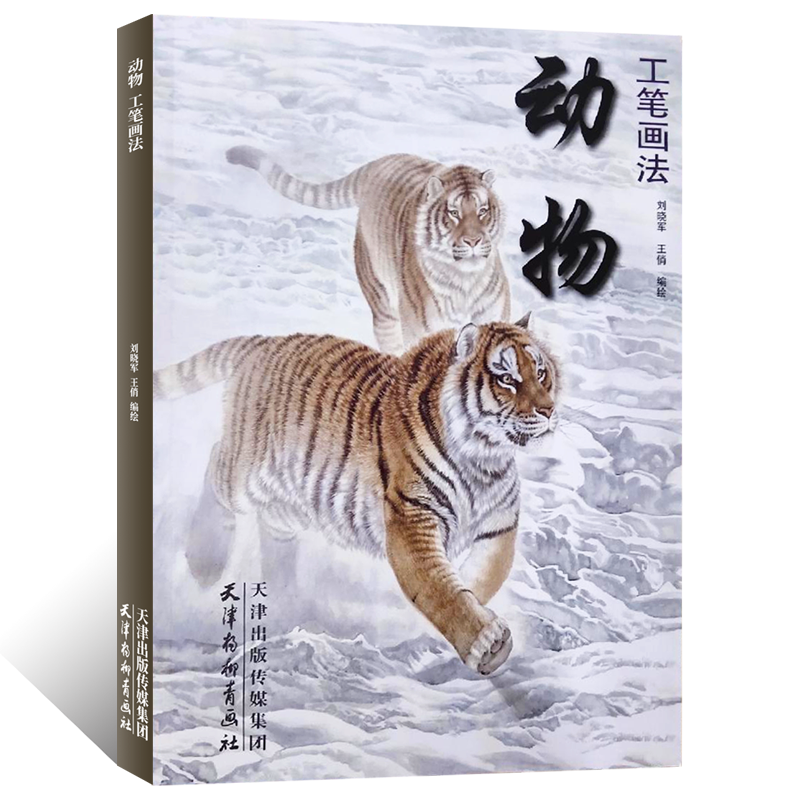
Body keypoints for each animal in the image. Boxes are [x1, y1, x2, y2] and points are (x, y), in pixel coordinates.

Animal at [153, 314, 559, 675]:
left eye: (540, 373)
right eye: (506, 379)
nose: (548, 410)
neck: (484, 459)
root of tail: (264, 342)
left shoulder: (500, 525)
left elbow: (481, 578)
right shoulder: (411, 517)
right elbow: (440, 588)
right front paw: (486, 643)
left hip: (292, 498)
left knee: (275, 533)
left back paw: (288, 602)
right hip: (246, 468)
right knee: (215, 463)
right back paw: (204, 564)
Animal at [225, 147, 511, 355]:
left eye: (482, 211)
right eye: (453, 213)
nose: (473, 241)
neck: (465, 281)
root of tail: (381, 161)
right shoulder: (422, 329)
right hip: (383, 306)